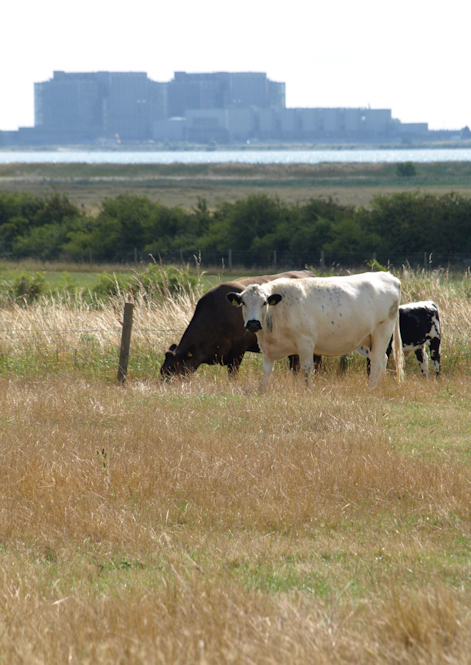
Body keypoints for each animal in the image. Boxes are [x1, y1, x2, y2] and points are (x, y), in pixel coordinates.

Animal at [227, 272, 404, 390]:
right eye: (243, 303)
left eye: (264, 302)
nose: (253, 323)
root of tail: (389, 276)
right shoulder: (268, 349)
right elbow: (266, 373)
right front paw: (262, 391)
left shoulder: (305, 342)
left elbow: (306, 369)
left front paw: (308, 391)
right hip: (367, 339)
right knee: (382, 359)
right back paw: (379, 387)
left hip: (382, 330)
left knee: (376, 361)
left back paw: (371, 389)